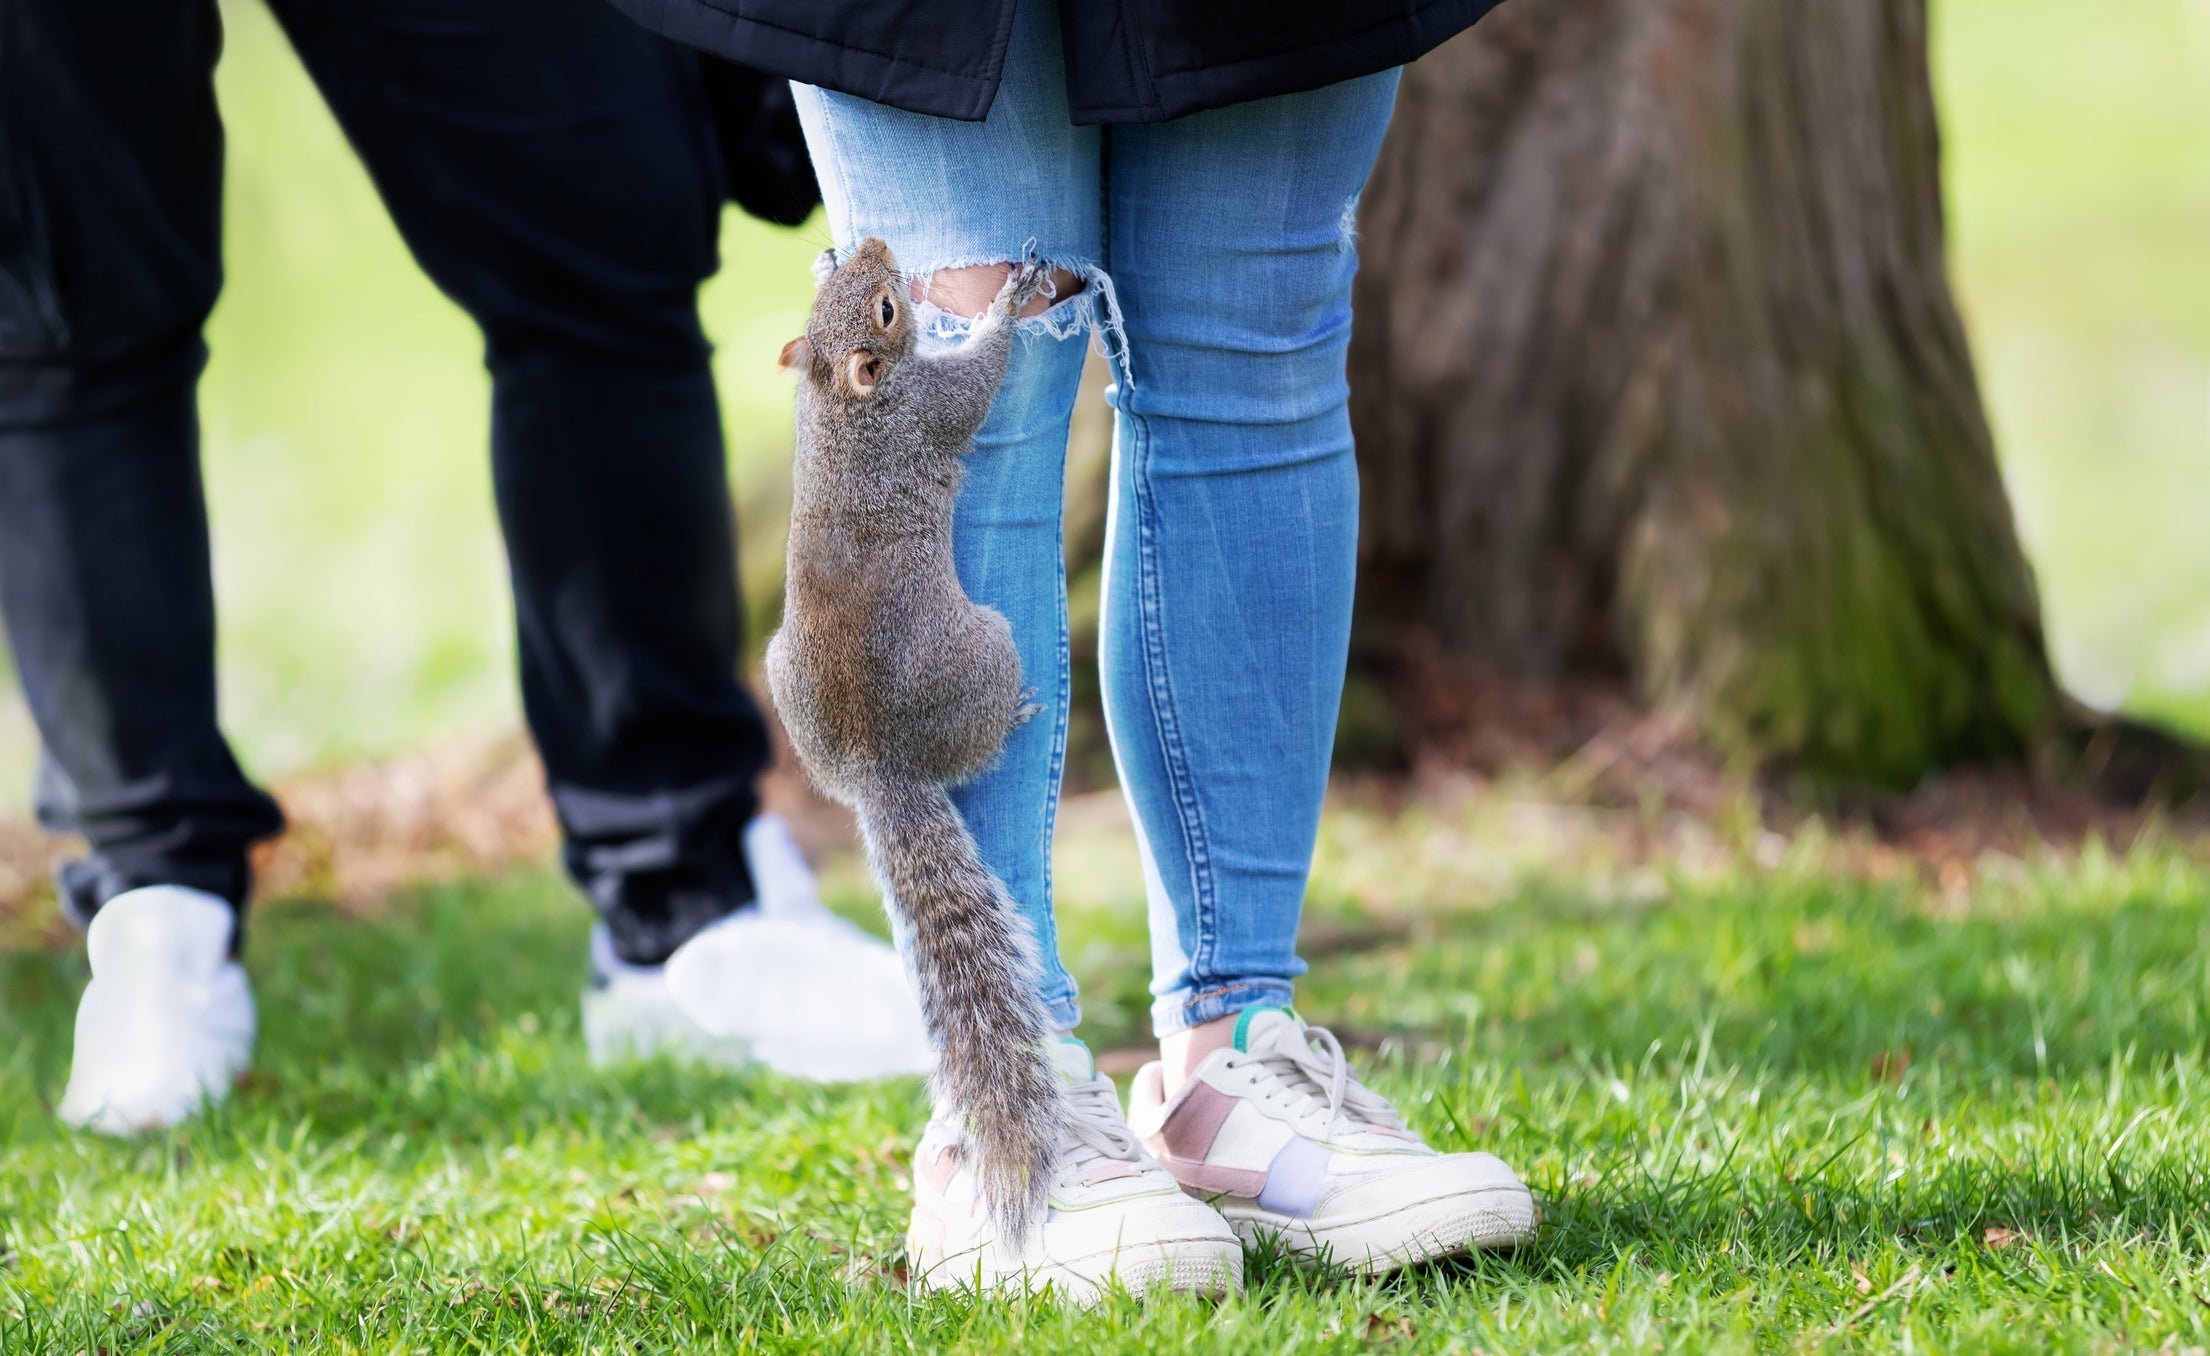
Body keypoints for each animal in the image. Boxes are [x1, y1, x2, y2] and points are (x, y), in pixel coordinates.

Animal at [767, 237, 1060, 1243]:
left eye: (857, 289)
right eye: (890, 311)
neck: (843, 403)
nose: (873, 246)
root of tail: (874, 765)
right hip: (989, 647)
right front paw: (1008, 304)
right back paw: (1018, 716)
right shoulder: (932, 410)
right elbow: (978, 379)